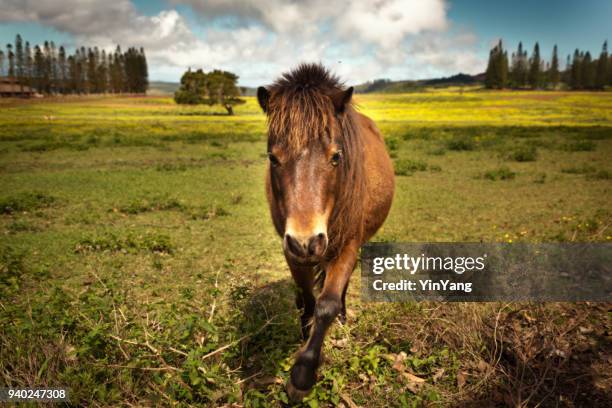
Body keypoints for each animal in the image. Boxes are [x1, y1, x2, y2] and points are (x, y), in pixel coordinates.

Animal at [256, 64, 394, 402]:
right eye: (273, 158)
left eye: (336, 156)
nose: (307, 241)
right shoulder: (291, 251)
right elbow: (308, 299)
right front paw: (303, 334)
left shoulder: (347, 245)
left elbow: (326, 304)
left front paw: (303, 373)